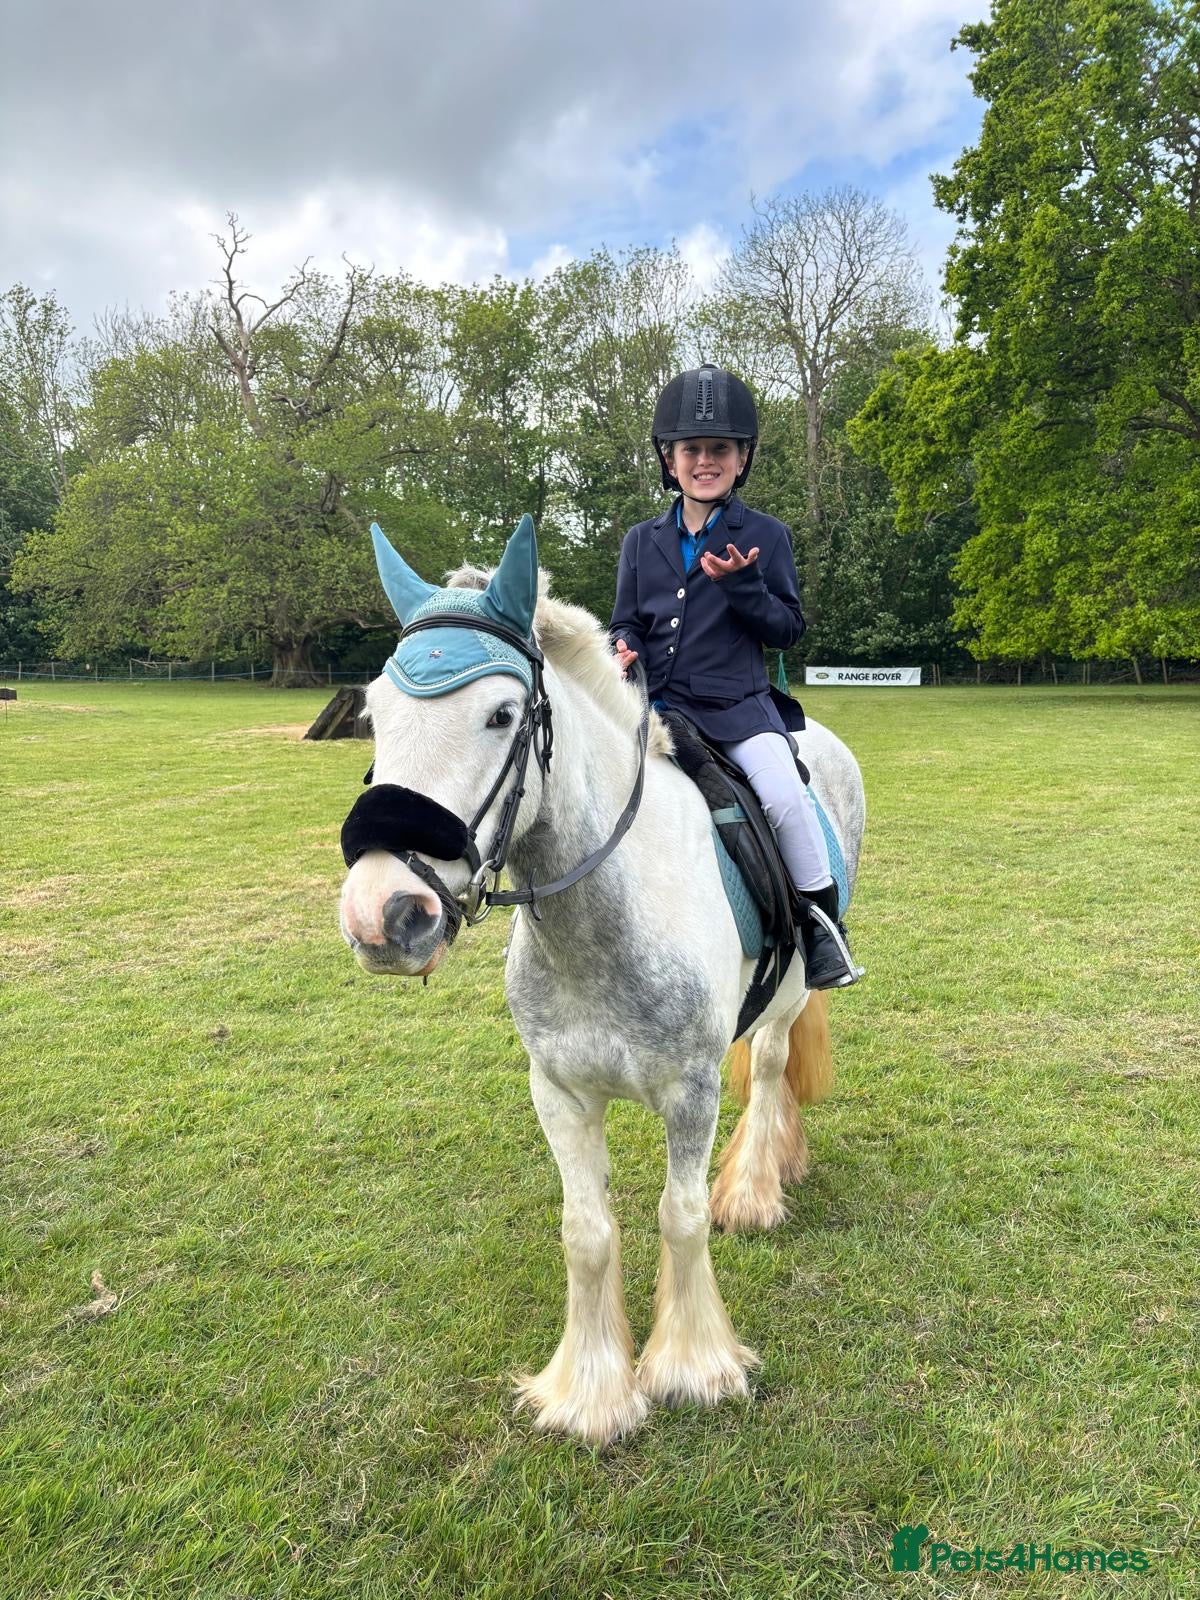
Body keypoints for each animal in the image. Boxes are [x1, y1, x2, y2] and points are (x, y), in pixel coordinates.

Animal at [338, 515, 866, 1447]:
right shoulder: (558, 1090)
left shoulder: (691, 1091)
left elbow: (678, 1216)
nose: (383, 914)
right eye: (374, 714)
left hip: (793, 993)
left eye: (501, 714)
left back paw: (754, 1189)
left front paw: (693, 1368)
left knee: (771, 1068)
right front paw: (590, 1394)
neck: (598, 922)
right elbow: (585, 1232)